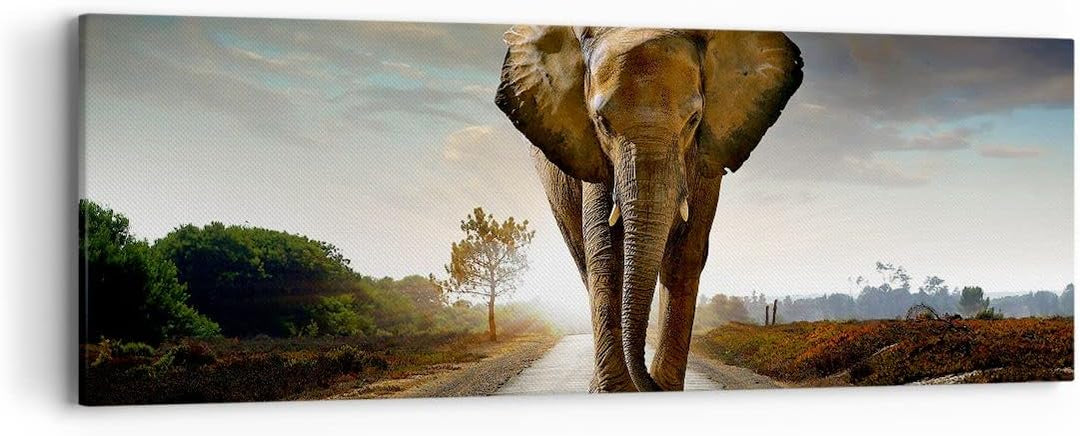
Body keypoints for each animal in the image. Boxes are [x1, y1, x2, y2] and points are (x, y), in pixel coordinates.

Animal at [494, 26, 803, 392]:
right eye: (601, 122)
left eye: (694, 120)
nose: (649, 382)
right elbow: (606, 254)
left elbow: (686, 254)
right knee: (584, 258)